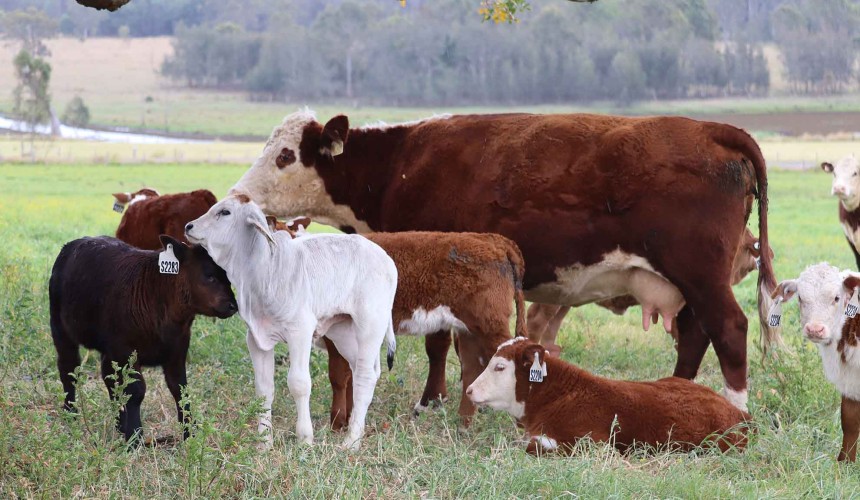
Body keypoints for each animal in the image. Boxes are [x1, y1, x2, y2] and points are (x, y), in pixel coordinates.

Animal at [49, 236, 237, 443]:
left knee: (108, 376)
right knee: (68, 368)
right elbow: (136, 391)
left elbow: (180, 389)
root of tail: (74, 244)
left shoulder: (177, 350)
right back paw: (71, 414)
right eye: (209, 276)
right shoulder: (126, 350)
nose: (233, 306)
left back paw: (119, 425)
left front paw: (190, 434)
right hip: (60, 327)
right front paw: (134, 437)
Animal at [184, 195, 398, 450]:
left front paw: (305, 438)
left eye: (225, 212)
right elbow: (264, 389)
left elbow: (299, 383)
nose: (189, 226)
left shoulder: (300, 331)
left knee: (365, 376)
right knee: (362, 372)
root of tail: (386, 258)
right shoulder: (256, 338)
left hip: (370, 325)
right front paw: (264, 443)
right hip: (342, 332)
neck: (266, 270)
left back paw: (351, 442)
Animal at [770, 262, 860, 462]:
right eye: (800, 297)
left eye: (836, 297)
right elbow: (849, 421)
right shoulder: (850, 381)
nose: (815, 329)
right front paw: (844, 463)